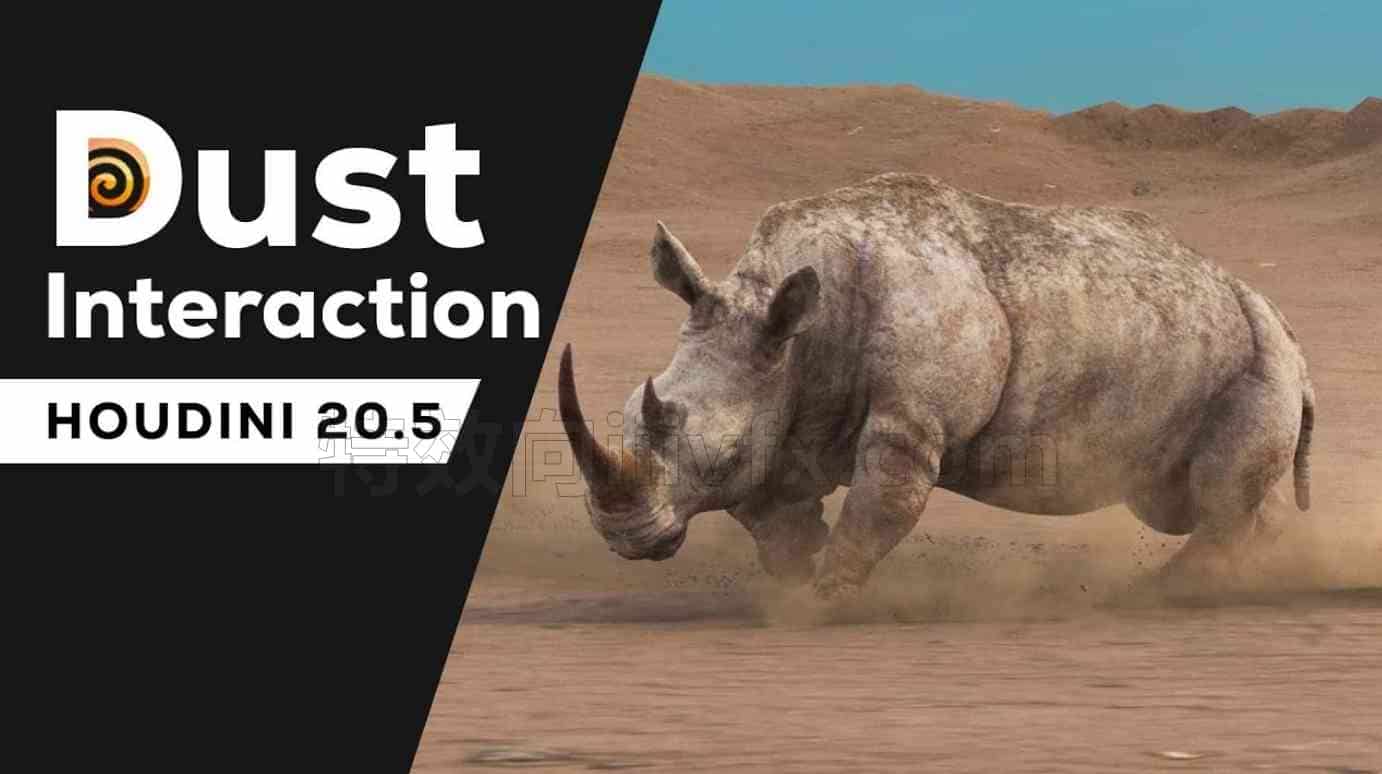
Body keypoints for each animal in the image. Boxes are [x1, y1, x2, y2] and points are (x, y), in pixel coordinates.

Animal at [560, 173, 1314, 597]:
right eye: (630, 417)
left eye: (720, 455)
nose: (626, 537)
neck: (798, 334)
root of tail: (1285, 324)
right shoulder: (783, 401)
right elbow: (772, 509)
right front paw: (796, 568)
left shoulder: (911, 420)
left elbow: (884, 500)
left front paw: (824, 598)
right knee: (1185, 500)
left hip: (1262, 358)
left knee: (1212, 498)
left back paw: (1167, 592)